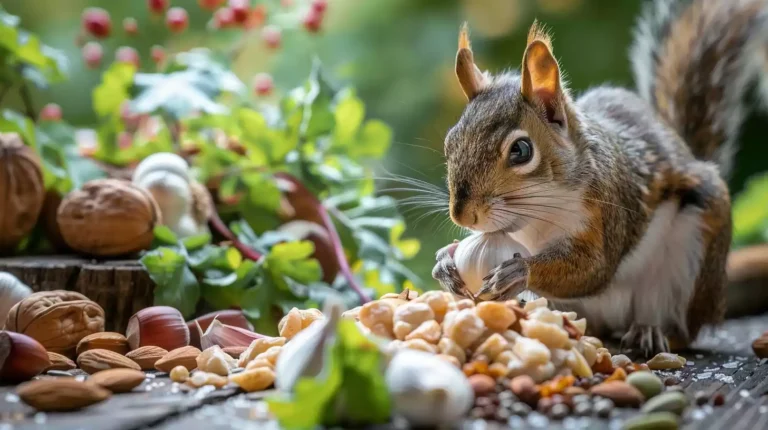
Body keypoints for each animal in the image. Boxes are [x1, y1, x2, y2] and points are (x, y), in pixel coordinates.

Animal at [432, 0, 768, 356]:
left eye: (521, 150)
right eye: (450, 141)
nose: (462, 215)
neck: (535, 218)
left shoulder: (607, 209)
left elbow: (593, 268)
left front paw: (520, 270)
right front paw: (445, 261)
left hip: (694, 255)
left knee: (682, 330)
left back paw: (650, 332)